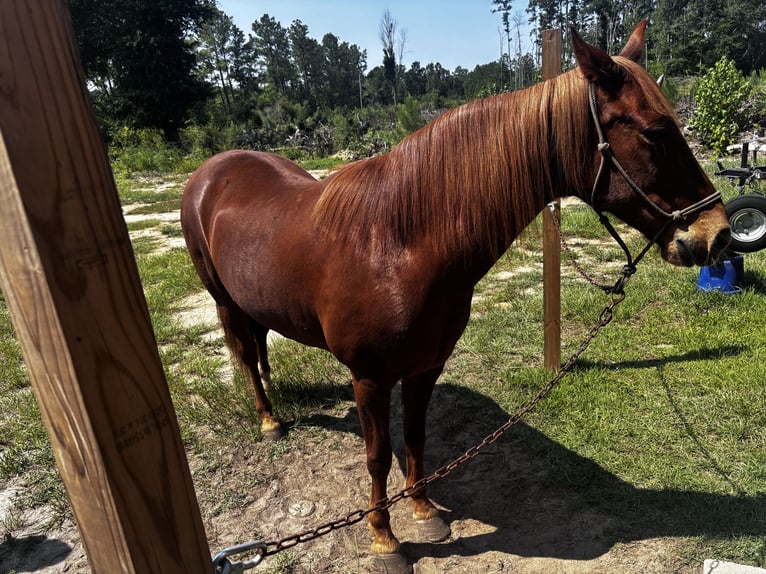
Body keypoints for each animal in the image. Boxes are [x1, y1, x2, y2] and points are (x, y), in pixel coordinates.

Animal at [181, 21, 730, 572]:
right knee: (246, 356)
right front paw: (384, 539)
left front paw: (423, 510)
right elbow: (377, 457)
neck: (396, 244)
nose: (718, 233)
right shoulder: (369, 378)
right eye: (656, 132)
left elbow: (416, 438)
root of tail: (212, 171)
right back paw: (270, 421)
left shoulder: (425, 367)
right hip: (224, 301)